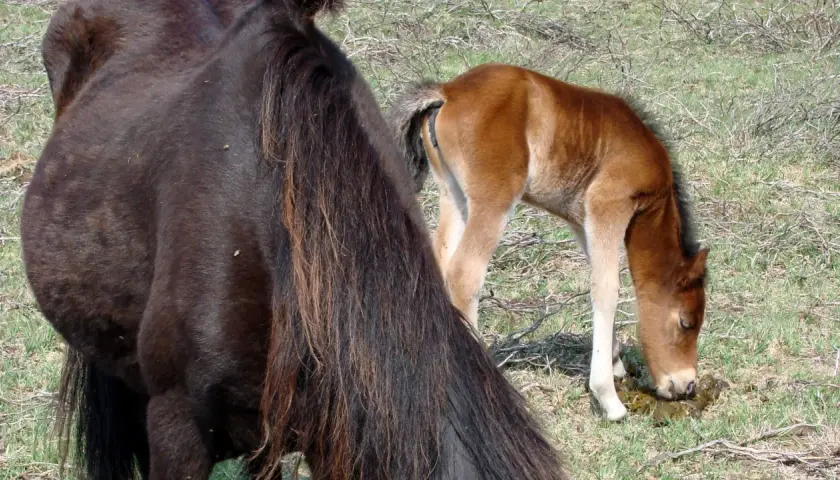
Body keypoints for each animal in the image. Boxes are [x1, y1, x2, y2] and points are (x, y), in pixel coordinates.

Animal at [388, 63, 710, 422]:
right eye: (686, 322)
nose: (686, 385)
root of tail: (449, 91)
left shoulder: (582, 221)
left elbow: (602, 280)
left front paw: (615, 363)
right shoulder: (608, 206)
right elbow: (607, 290)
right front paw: (608, 398)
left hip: (452, 193)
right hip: (494, 199)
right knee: (464, 274)